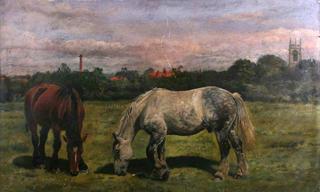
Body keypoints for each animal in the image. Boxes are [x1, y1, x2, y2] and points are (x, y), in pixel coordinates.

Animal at [112, 86, 255, 181]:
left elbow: (150, 151)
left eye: (117, 151)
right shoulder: (162, 134)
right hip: (231, 129)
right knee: (238, 146)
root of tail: (231, 95)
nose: (118, 172)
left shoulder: (157, 133)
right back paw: (240, 173)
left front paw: (160, 171)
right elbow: (161, 151)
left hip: (221, 131)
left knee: (225, 149)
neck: (147, 106)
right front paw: (163, 170)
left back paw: (220, 174)